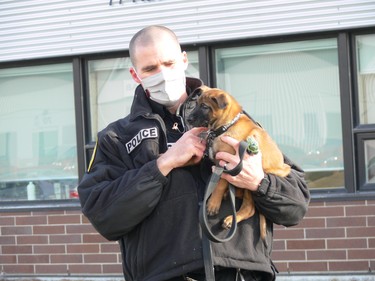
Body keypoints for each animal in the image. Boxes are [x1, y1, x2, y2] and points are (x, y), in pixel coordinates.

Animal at [187, 86, 290, 241]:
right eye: (196, 104)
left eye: (204, 106)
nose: (188, 119)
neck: (226, 126)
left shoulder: (227, 164)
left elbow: (220, 184)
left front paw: (213, 203)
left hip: (250, 186)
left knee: (249, 208)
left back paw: (230, 219)